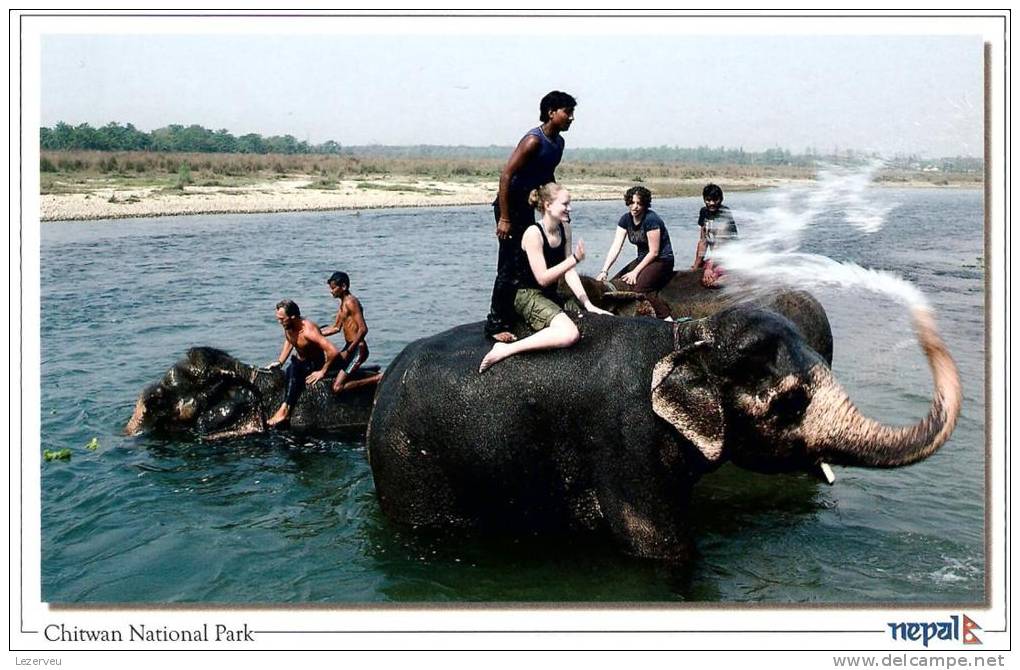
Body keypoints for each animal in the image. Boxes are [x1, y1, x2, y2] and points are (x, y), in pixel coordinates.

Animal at [367, 295, 954, 562]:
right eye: (790, 403)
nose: (926, 330)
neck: (683, 336)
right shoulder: (624, 438)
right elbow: (658, 545)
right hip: (409, 467)